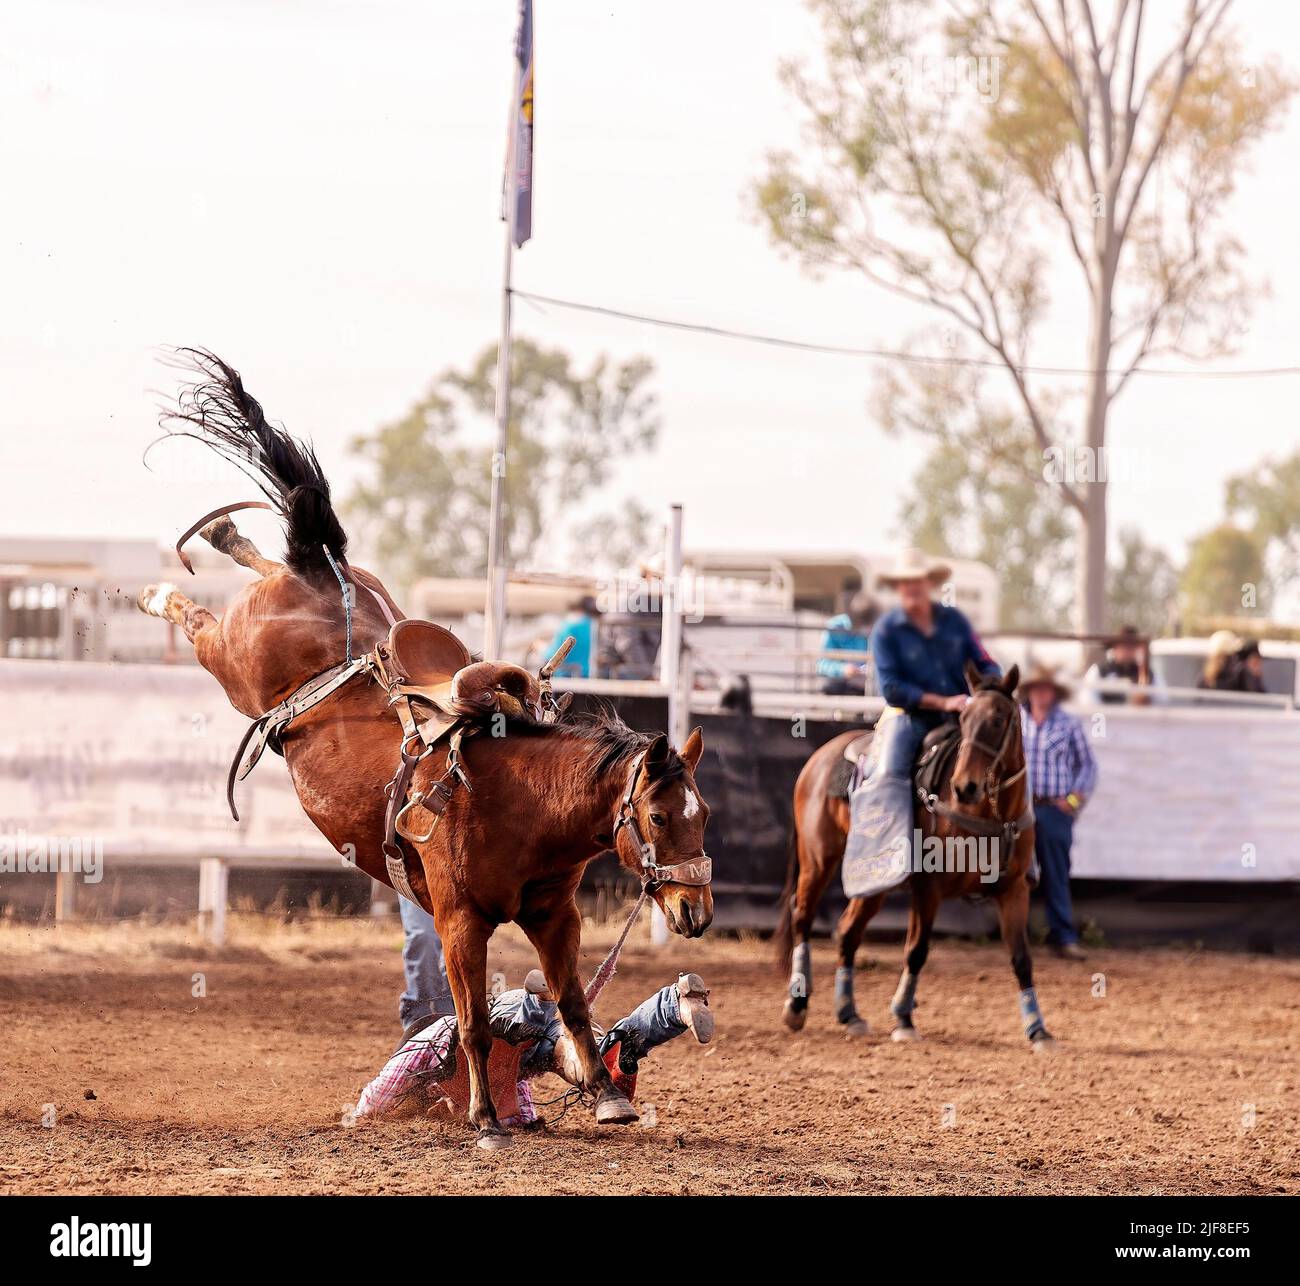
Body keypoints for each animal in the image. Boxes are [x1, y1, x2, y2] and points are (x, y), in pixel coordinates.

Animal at [136, 350, 715, 1147]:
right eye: (659, 817)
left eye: (705, 815)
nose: (697, 911)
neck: (522, 804)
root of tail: (320, 573)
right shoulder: (459, 920)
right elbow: (472, 1022)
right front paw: (486, 1120)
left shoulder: (555, 916)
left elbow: (573, 1005)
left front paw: (606, 1095)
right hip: (234, 661)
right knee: (200, 620)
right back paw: (159, 590)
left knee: (266, 556)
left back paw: (225, 536)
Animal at [775, 664, 1056, 1051]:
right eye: (964, 718)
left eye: (999, 720)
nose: (965, 786)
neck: (990, 814)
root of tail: (820, 757)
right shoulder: (928, 888)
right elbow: (917, 950)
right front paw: (904, 1019)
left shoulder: (1014, 890)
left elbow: (1021, 958)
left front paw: (1038, 1029)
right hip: (818, 860)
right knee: (802, 915)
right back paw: (797, 1004)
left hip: (873, 882)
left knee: (847, 931)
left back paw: (849, 1013)